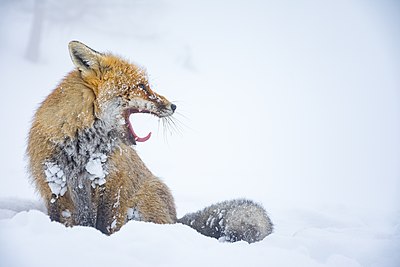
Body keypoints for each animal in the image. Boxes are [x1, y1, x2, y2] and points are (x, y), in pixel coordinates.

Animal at [26, 40, 274, 244]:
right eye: (142, 87)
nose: (173, 106)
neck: (82, 149)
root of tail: (176, 219)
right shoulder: (55, 186)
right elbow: (64, 219)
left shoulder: (111, 181)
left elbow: (105, 224)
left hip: (143, 201)